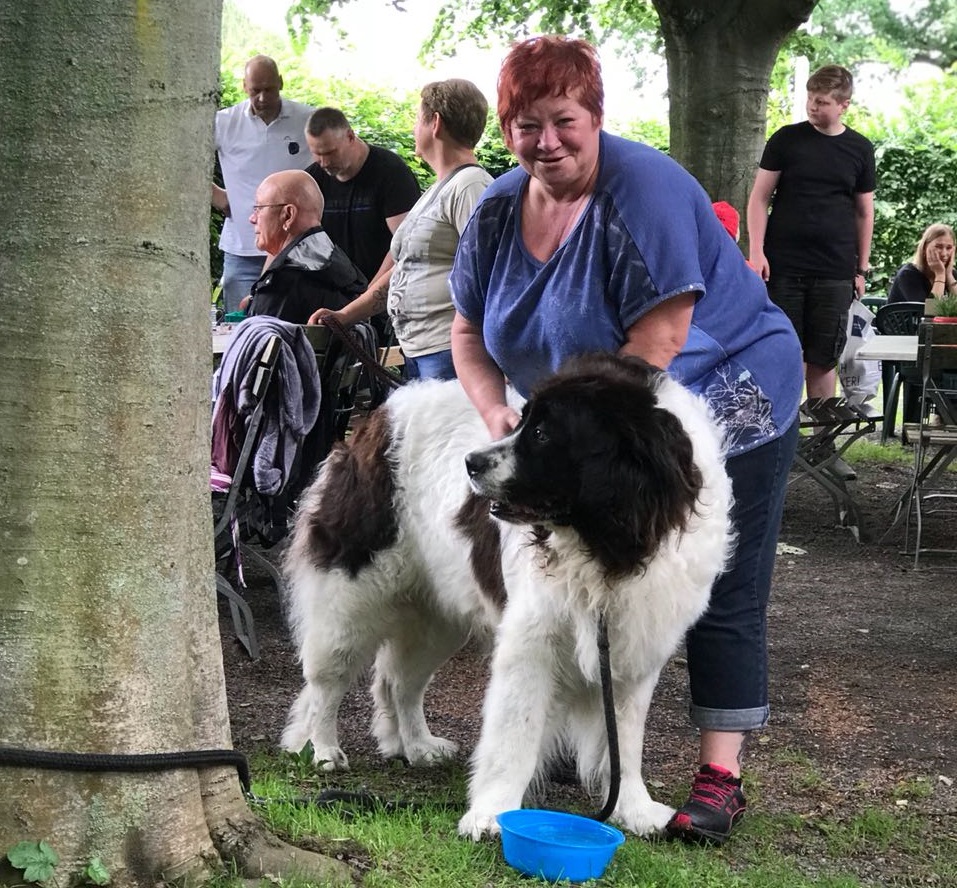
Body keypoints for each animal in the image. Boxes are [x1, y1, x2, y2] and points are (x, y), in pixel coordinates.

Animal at [278, 354, 732, 840]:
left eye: (542, 433)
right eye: (522, 422)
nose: (471, 462)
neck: (607, 547)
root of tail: (377, 416)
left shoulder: (634, 654)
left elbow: (625, 743)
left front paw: (633, 808)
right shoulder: (531, 645)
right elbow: (515, 734)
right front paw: (492, 813)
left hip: (436, 617)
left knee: (399, 682)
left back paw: (417, 745)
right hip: (351, 599)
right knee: (327, 680)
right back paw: (323, 747)